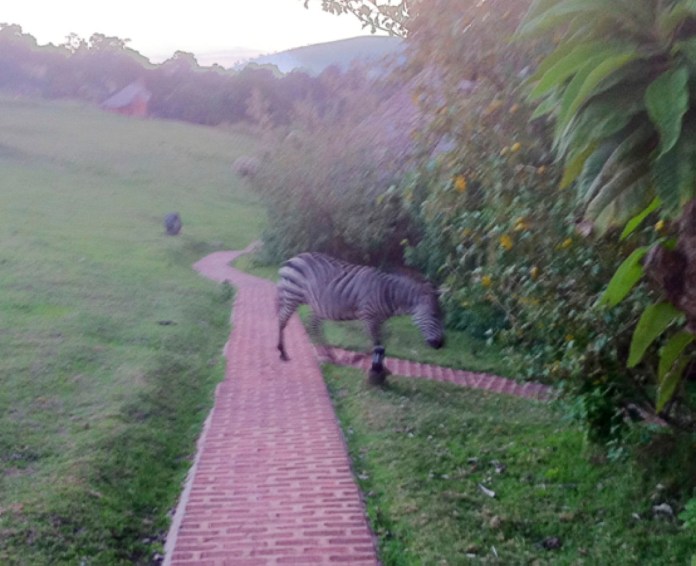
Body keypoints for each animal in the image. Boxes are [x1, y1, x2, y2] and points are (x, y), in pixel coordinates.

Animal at [276, 252, 445, 364]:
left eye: (441, 315)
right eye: (434, 315)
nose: (441, 345)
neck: (387, 294)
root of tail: (294, 257)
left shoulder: (378, 320)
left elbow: (379, 342)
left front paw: (364, 359)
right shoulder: (368, 315)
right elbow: (375, 343)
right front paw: (364, 360)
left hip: (316, 303)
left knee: (313, 326)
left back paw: (329, 355)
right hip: (292, 295)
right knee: (282, 320)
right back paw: (282, 352)